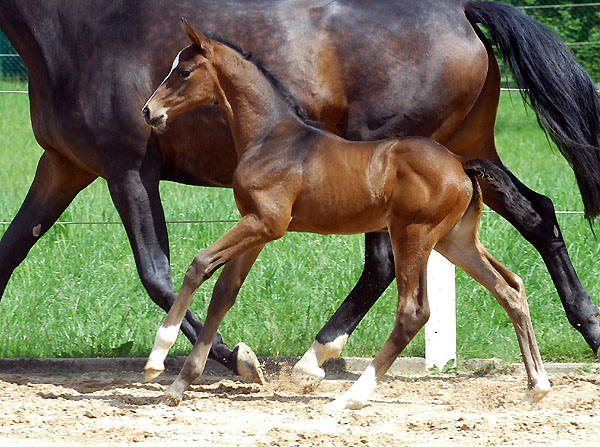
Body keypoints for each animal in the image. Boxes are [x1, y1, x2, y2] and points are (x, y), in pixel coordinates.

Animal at [143, 22, 552, 412]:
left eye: (184, 71)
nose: (149, 111)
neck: (271, 138)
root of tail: (461, 163)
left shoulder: (265, 224)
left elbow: (199, 265)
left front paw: (157, 358)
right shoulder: (255, 229)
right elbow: (224, 294)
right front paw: (179, 386)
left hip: (413, 235)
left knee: (413, 312)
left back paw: (349, 398)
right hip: (455, 241)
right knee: (510, 288)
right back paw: (537, 387)